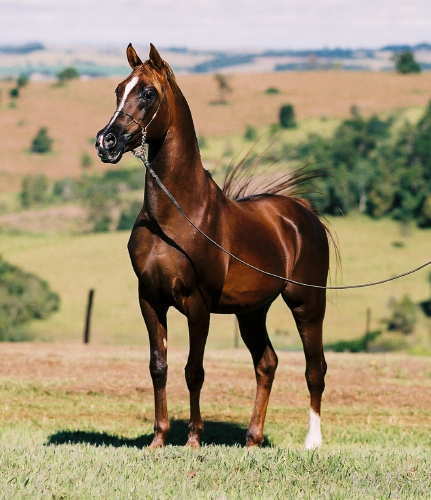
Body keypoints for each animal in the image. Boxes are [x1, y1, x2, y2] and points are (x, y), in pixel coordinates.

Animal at [95, 44, 330, 450]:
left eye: (148, 93)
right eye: (119, 89)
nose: (106, 142)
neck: (178, 215)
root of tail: (302, 214)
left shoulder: (197, 304)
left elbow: (194, 370)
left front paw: (193, 439)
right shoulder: (150, 300)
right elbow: (159, 366)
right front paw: (158, 439)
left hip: (307, 303)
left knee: (315, 368)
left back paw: (312, 442)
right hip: (252, 311)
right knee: (266, 363)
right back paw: (252, 439)